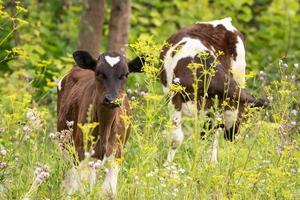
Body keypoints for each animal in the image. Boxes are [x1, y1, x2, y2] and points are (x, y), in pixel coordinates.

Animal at [159, 18, 268, 163]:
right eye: (243, 116)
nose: (232, 136)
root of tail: (223, 21)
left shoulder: (213, 106)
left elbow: (208, 134)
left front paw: (209, 164)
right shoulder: (174, 98)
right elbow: (176, 138)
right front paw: (167, 166)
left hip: (239, 74)